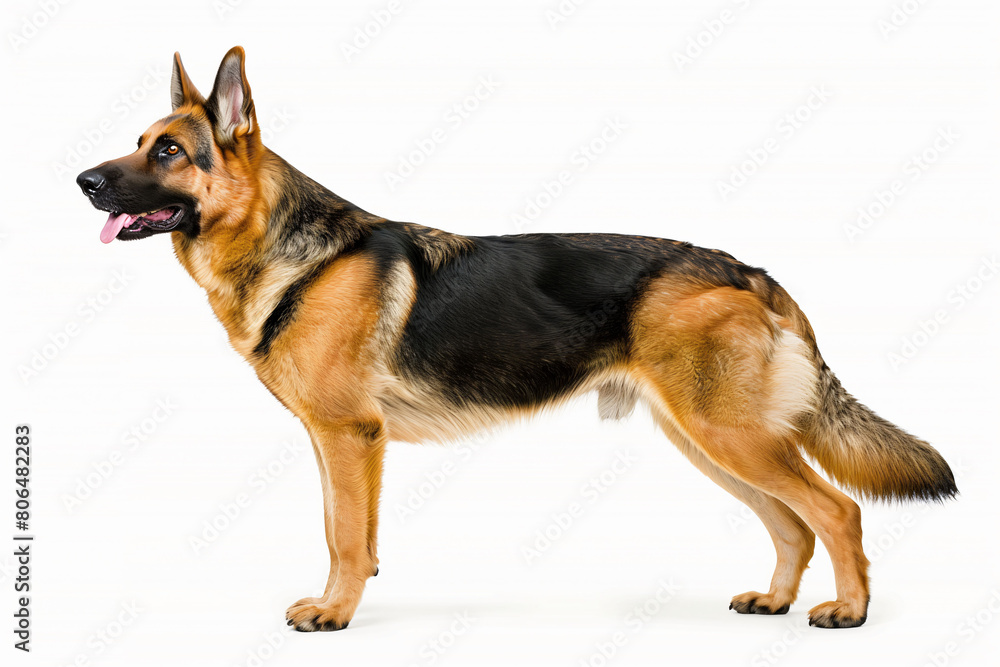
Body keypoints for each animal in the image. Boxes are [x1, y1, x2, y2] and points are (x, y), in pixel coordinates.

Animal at [76, 47, 952, 632]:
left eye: (169, 151)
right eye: (141, 141)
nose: (82, 180)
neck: (289, 250)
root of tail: (749, 270)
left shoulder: (350, 436)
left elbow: (346, 536)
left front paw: (336, 612)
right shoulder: (335, 441)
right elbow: (342, 530)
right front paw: (339, 600)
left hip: (729, 435)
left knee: (836, 510)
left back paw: (848, 610)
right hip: (711, 440)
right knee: (794, 522)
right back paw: (775, 598)